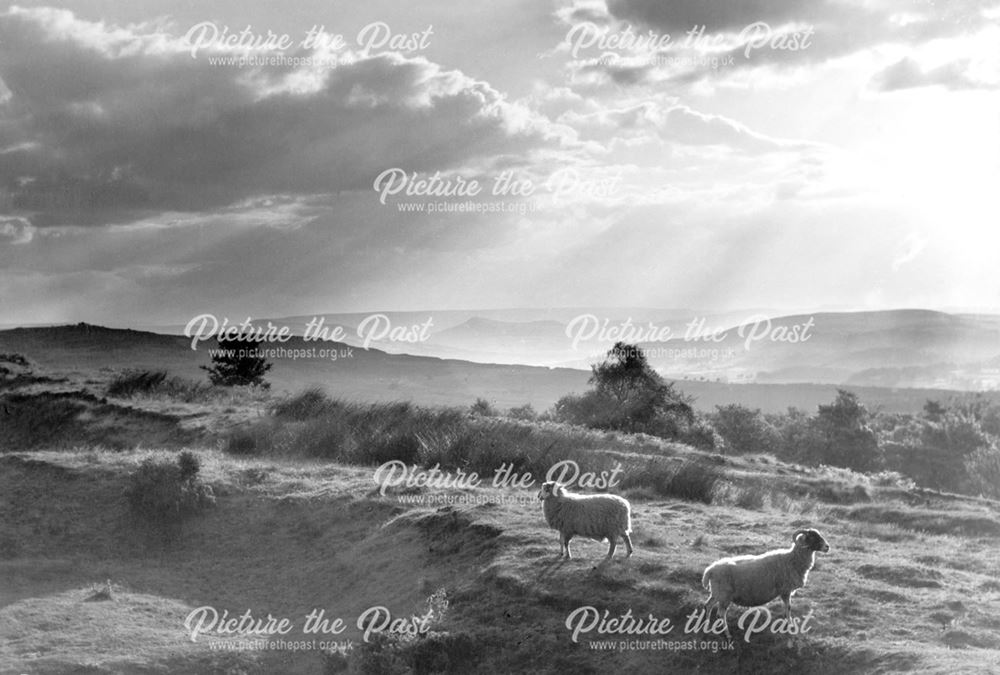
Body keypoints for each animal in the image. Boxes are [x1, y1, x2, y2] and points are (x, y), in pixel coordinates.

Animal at [700, 528, 832, 640]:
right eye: (812, 537)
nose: (827, 547)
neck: (792, 559)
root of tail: (710, 570)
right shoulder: (786, 590)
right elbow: (788, 608)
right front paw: (790, 625)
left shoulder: (785, 590)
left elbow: (787, 608)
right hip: (724, 595)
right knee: (720, 614)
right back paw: (727, 634)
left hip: (717, 593)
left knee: (708, 605)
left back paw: (707, 627)